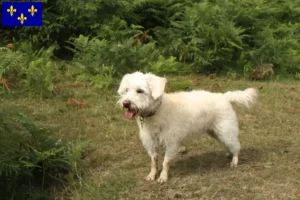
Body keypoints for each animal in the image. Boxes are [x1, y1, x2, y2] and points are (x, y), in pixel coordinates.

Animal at [117, 72, 258, 183]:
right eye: (126, 90)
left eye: (140, 91)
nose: (126, 103)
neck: (156, 112)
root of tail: (224, 96)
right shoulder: (150, 142)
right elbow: (153, 161)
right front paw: (152, 175)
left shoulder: (172, 143)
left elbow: (165, 162)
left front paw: (163, 177)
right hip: (216, 132)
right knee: (231, 144)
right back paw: (229, 153)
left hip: (225, 131)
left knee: (236, 146)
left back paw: (234, 160)